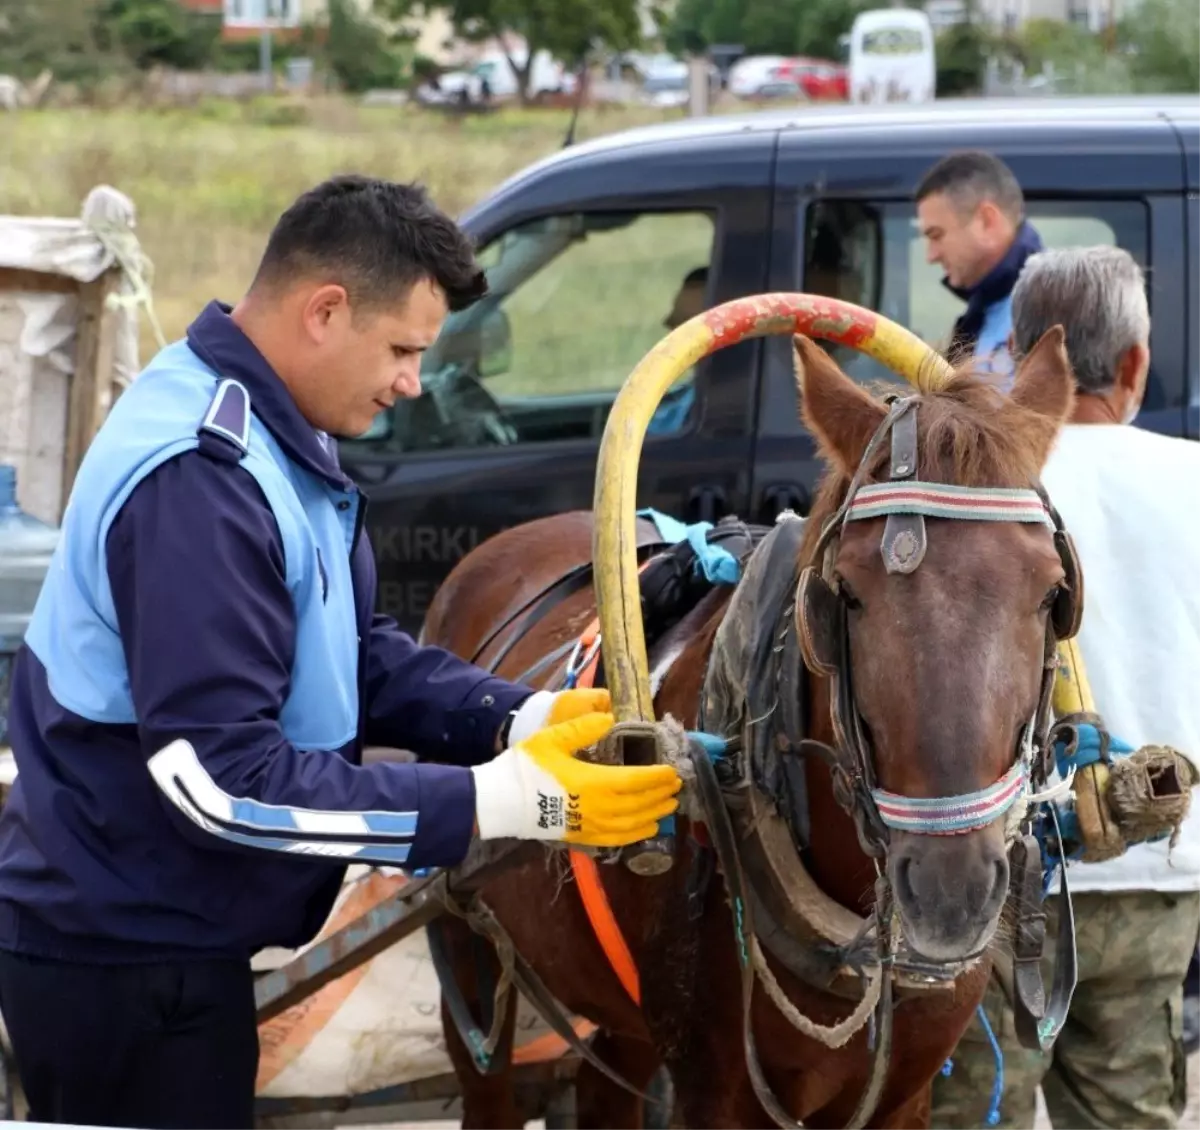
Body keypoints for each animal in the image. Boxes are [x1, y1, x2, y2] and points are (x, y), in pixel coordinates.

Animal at [420, 328, 1080, 1130]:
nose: (950, 893)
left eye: (1052, 593)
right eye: (846, 594)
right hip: (465, 946)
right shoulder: (714, 1091)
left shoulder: (906, 1094)